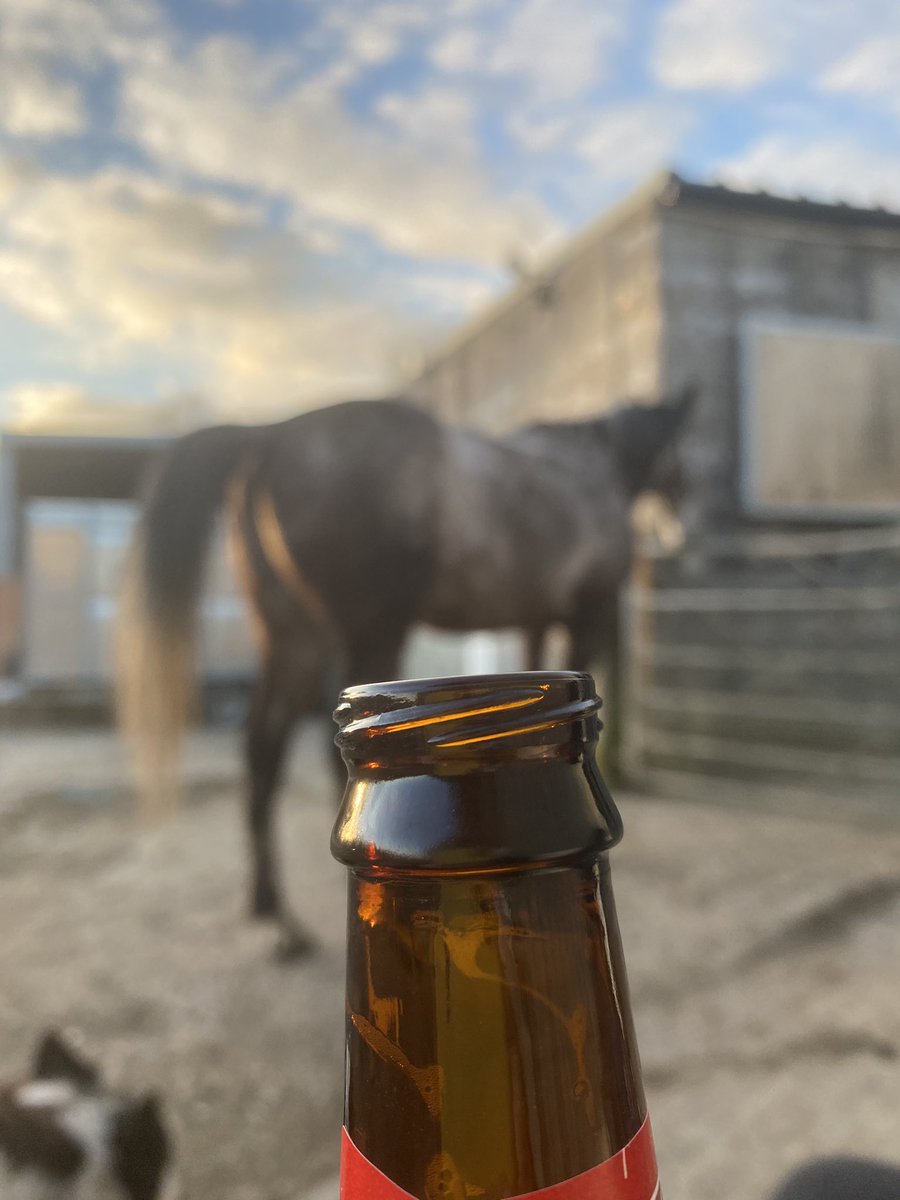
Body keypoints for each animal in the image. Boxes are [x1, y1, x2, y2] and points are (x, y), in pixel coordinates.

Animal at [117, 387, 694, 957]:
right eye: (687, 449)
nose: (677, 533)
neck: (592, 465)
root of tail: (275, 434)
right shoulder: (589, 612)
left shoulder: (536, 622)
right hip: (372, 629)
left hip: (294, 635)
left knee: (263, 750)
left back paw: (274, 914)